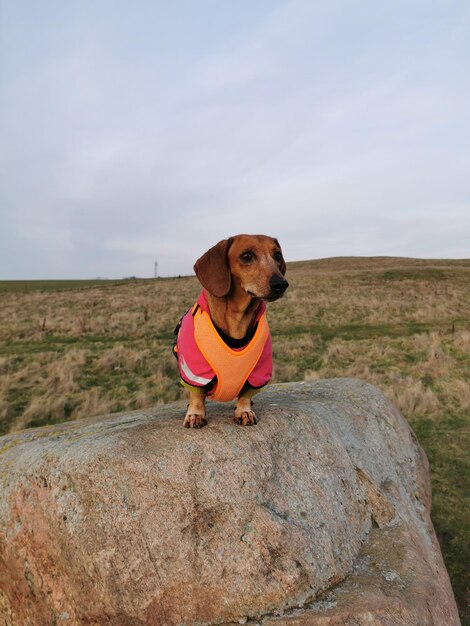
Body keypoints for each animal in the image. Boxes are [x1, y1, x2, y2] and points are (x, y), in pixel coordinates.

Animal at [174, 232, 288, 426]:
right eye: (247, 256)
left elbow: (246, 395)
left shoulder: (259, 371)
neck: (237, 320)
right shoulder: (194, 370)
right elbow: (197, 395)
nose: (281, 284)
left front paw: (244, 411)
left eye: (277, 255)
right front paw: (195, 413)